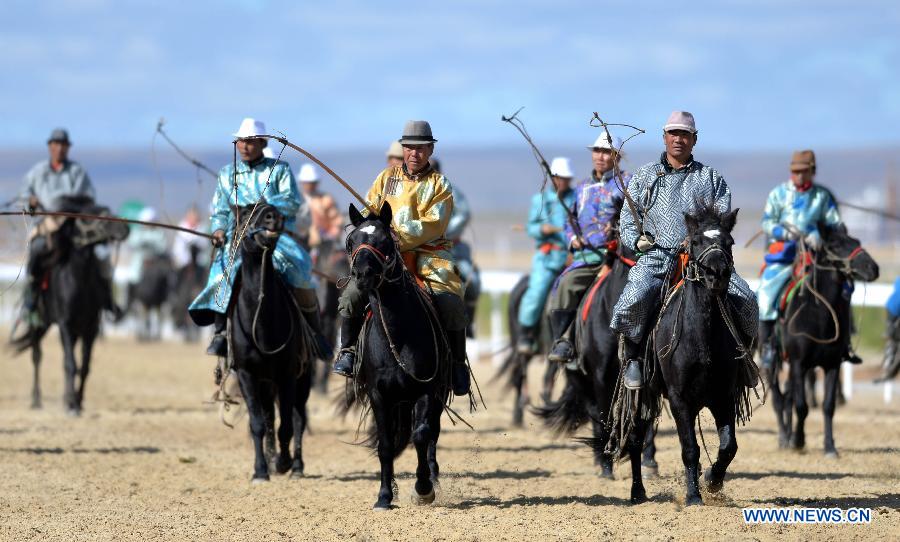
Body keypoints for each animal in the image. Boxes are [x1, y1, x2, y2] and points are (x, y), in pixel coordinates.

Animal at [11, 198, 128, 414]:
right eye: (87, 216)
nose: (123, 227)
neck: (78, 282)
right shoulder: (65, 324)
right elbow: (71, 364)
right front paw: (72, 404)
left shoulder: (90, 328)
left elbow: (84, 366)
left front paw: (77, 401)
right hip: (40, 324)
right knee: (37, 356)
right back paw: (36, 400)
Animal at [227, 205, 314, 484]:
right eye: (244, 215)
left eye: (275, 209)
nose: (272, 216)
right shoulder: (247, 374)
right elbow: (257, 424)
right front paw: (260, 470)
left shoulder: (287, 373)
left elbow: (287, 425)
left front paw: (283, 462)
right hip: (265, 384)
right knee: (267, 418)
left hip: (302, 379)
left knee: (298, 417)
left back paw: (296, 466)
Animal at [346, 202, 458, 512]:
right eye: (351, 242)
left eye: (385, 241)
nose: (363, 275)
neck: (398, 336)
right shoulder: (379, 395)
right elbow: (385, 444)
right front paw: (384, 496)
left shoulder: (427, 390)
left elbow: (421, 435)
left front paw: (423, 489)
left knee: (431, 434)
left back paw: (433, 479)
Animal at [772, 223, 880, 456]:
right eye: (836, 245)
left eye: (856, 242)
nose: (873, 268)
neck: (819, 315)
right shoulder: (799, 363)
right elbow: (802, 406)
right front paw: (799, 441)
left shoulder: (832, 364)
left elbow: (828, 406)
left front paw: (830, 446)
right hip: (772, 362)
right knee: (778, 397)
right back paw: (785, 437)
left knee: (788, 395)